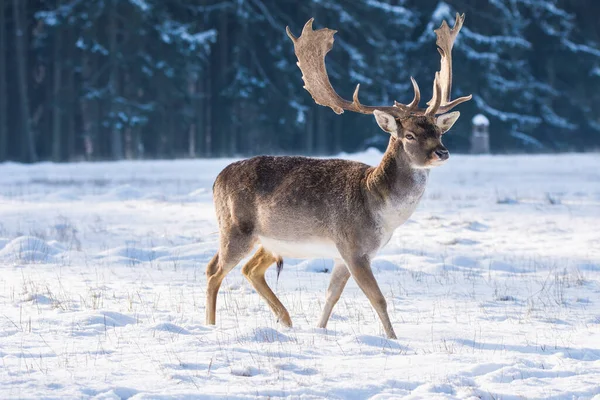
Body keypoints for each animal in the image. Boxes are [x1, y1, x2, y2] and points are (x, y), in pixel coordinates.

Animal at [206, 13, 474, 338]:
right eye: (409, 135)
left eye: (438, 131)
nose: (442, 153)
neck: (379, 209)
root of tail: (217, 178)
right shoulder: (353, 247)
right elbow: (378, 298)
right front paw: (394, 339)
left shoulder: (341, 255)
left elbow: (331, 296)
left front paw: (319, 330)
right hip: (235, 227)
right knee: (214, 271)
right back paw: (209, 325)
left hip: (271, 240)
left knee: (250, 269)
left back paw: (286, 319)